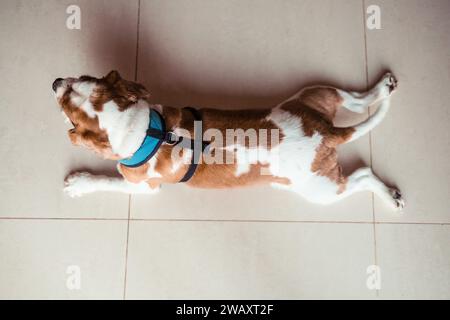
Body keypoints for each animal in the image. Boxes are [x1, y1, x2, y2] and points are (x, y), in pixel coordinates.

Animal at [52, 70, 404, 210]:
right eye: (82, 77)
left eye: (69, 114)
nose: (56, 81)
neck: (146, 130)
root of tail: (329, 133)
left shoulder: (142, 187)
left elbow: (107, 181)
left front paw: (79, 183)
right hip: (315, 93)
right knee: (356, 100)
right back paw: (382, 87)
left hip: (322, 191)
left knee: (363, 176)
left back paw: (390, 196)